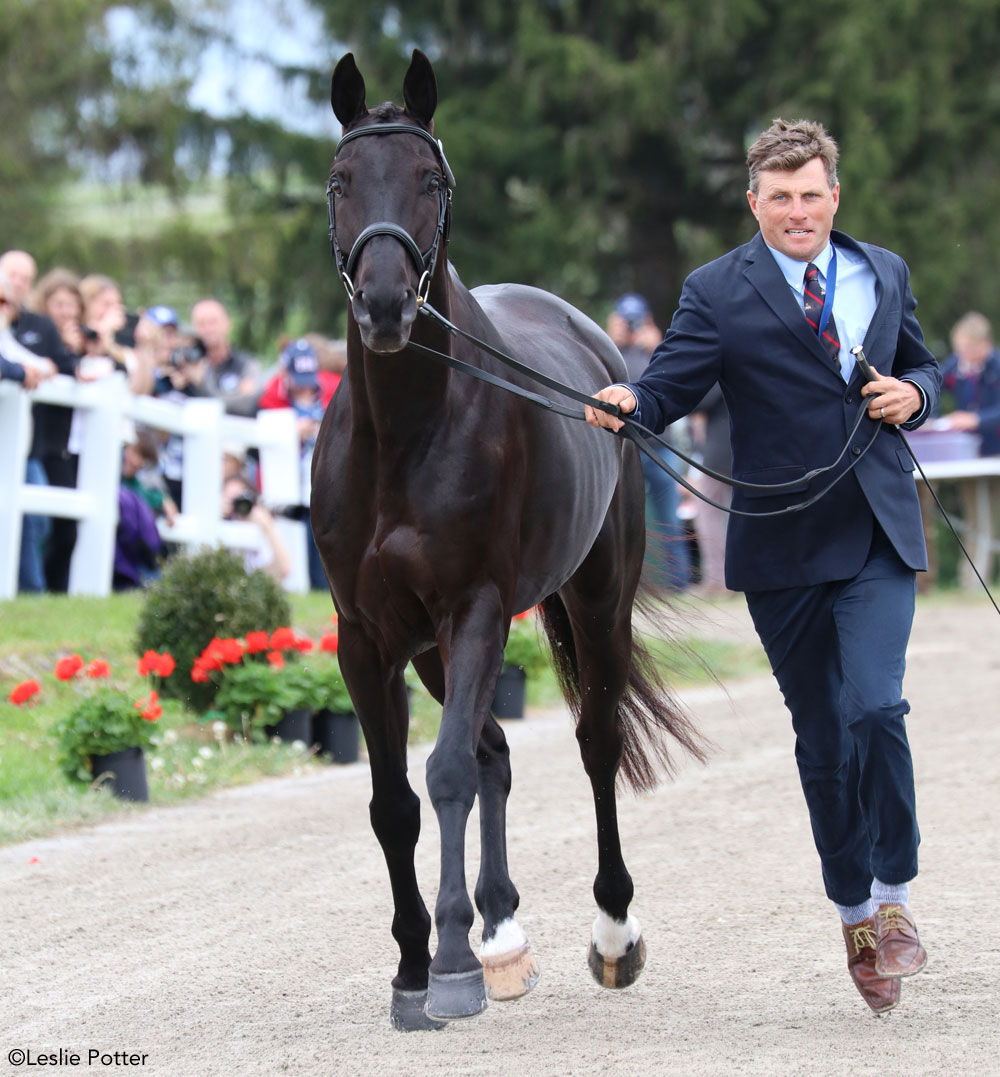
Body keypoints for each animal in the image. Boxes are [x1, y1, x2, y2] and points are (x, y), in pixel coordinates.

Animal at [312, 48, 701, 1025]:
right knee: (492, 749)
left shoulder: (477, 607)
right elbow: (395, 801)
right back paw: (501, 929)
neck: (403, 437)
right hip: (432, 648)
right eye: (340, 181)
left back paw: (608, 934)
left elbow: (447, 771)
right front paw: (416, 964)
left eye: (431, 178)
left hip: (593, 603)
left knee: (594, 742)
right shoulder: (366, 636)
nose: (383, 304)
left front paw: (450, 965)